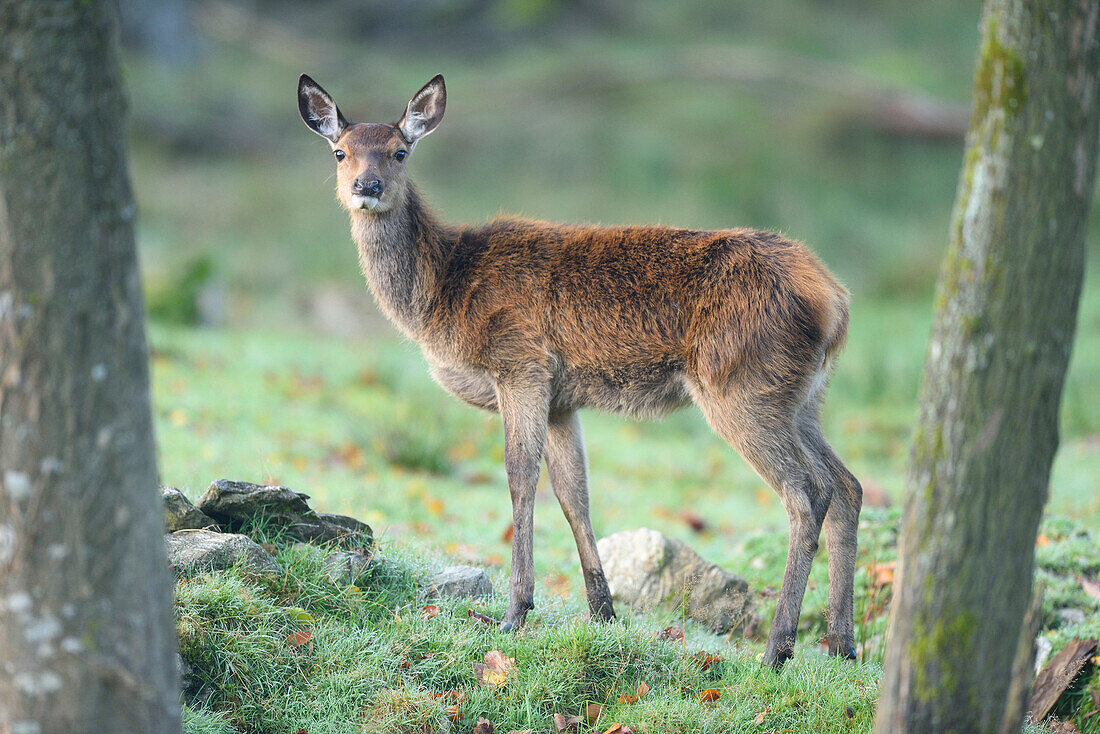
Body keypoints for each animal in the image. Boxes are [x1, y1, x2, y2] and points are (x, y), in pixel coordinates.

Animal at [299, 73, 858, 664]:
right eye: (340, 152)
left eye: (400, 152)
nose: (367, 186)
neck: (442, 291)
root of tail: (834, 298)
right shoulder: (563, 399)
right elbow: (574, 494)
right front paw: (604, 613)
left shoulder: (519, 363)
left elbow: (520, 476)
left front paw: (515, 613)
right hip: (803, 396)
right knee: (846, 486)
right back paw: (842, 646)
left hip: (741, 385)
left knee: (806, 493)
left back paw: (778, 648)